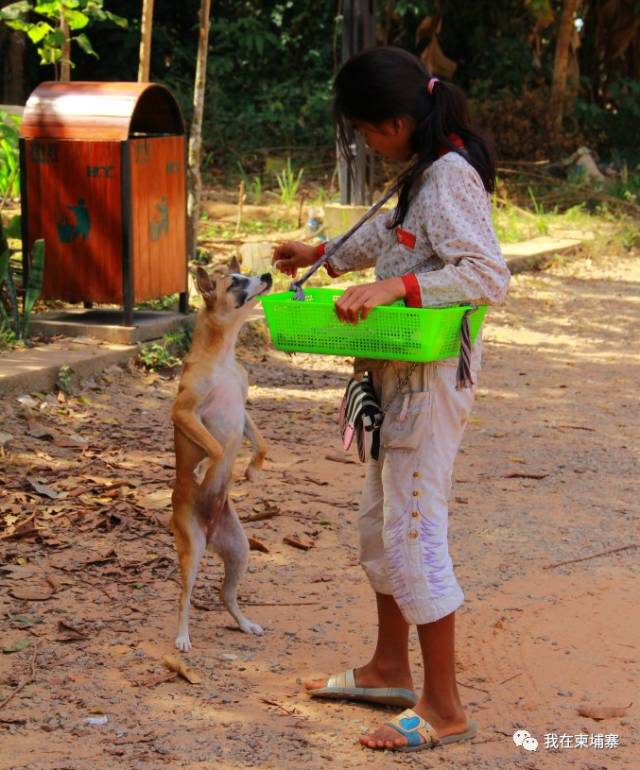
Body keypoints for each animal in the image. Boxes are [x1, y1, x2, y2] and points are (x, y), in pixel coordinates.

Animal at [169, 260, 272, 648]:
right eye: (236, 282)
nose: (268, 276)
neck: (223, 356)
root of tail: (211, 533)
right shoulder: (184, 413)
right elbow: (213, 445)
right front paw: (200, 468)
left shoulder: (243, 410)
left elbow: (262, 442)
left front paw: (254, 469)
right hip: (192, 551)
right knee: (183, 596)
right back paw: (182, 637)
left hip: (240, 550)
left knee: (225, 594)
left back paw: (244, 624)